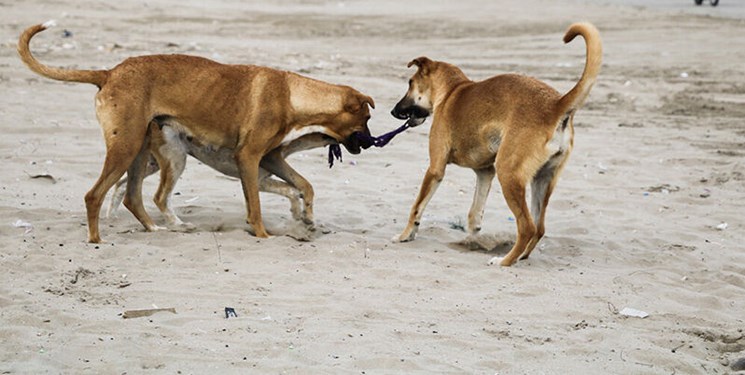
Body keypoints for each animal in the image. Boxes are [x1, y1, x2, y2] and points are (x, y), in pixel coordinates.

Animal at [18, 21, 374, 244]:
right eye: (367, 118)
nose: (371, 144)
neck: (292, 94)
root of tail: (109, 73)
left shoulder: (270, 159)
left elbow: (302, 186)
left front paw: (306, 217)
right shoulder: (249, 160)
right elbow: (258, 205)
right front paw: (263, 234)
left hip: (143, 153)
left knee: (132, 195)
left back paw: (157, 228)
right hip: (132, 148)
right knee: (99, 194)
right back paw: (97, 238)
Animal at [392, 22, 600, 268]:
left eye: (410, 83)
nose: (393, 111)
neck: (453, 90)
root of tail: (556, 105)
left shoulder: (435, 169)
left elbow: (416, 207)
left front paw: (405, 235)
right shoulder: (485, 172)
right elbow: (474, 215)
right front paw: (471, 239)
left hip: (508, 173)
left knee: (527, 227)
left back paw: (505, 260)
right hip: (542, 180)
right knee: (538, 228)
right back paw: (520, 256)